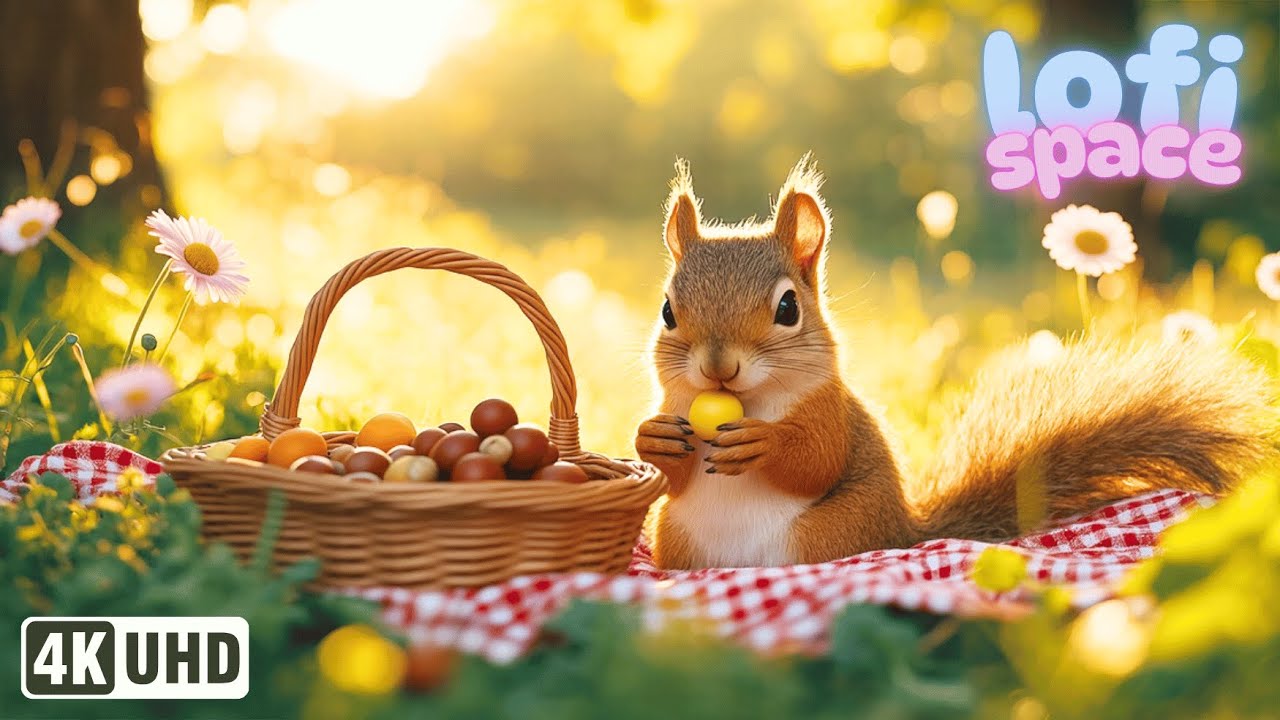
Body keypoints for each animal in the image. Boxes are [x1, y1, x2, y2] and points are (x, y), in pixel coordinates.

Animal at [635, 155, 1278, 570]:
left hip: (828, 535)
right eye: (667, 310)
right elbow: (670, 469)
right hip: (676, 536)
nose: (718, 367)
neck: (751, 401)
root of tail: (905, 530)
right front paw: (654, 438)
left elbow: (816, 459)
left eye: (788, 308)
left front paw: (763, 444)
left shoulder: (830, 411)